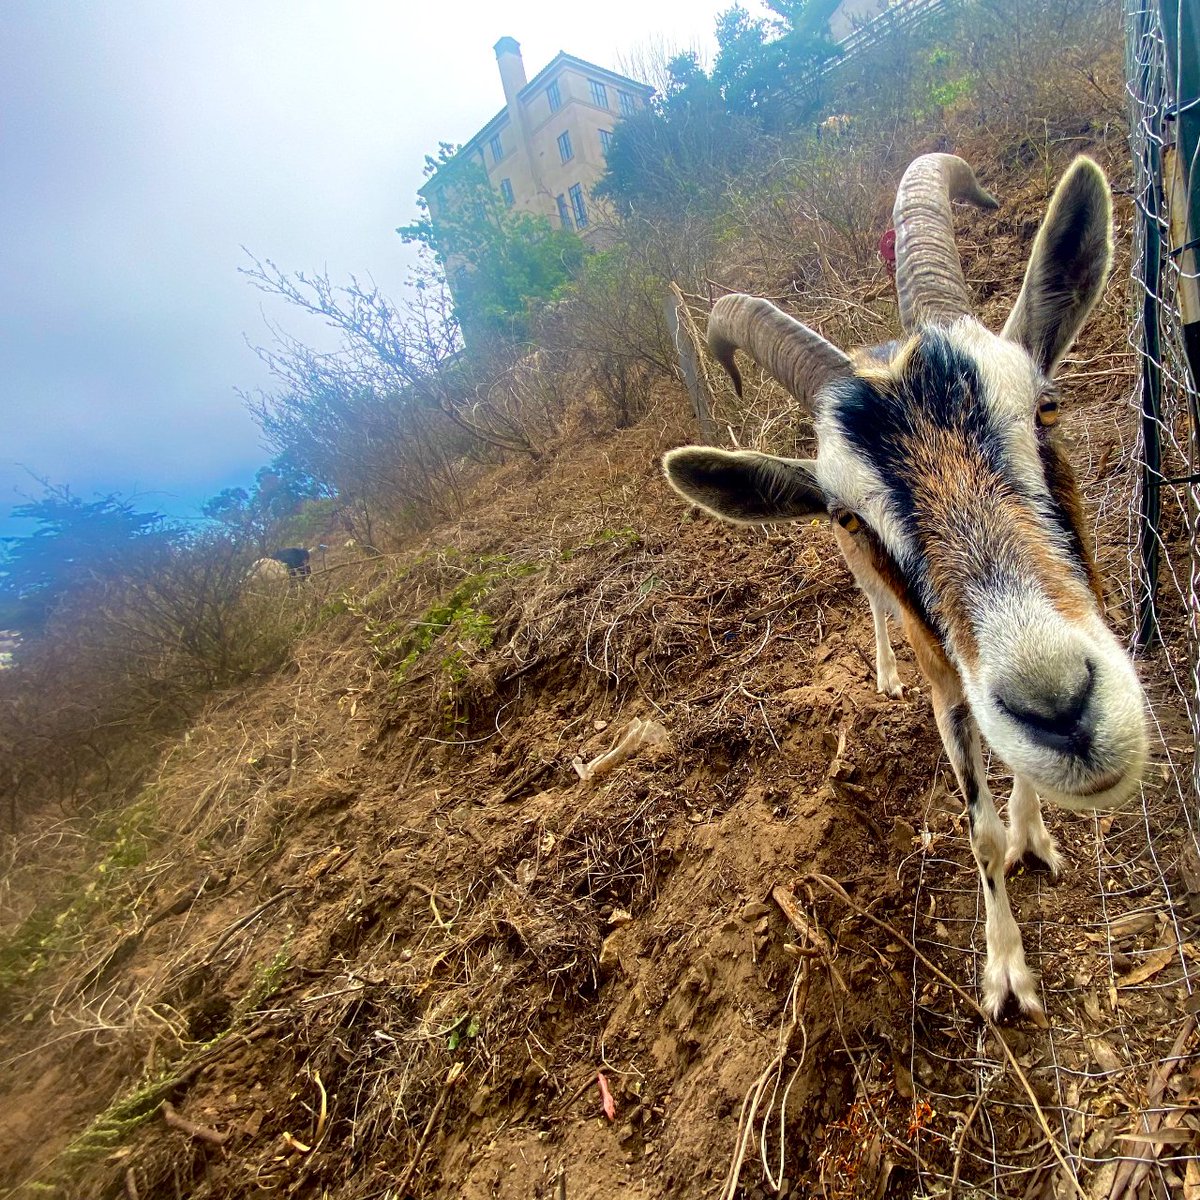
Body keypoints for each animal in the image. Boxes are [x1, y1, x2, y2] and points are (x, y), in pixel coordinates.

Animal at [662, 154, 1149, 1018]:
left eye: (1047, 408)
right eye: (850, 513)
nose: (1061, 710)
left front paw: (1035, 838)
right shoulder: (948, 679)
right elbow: (976, 831)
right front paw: (1005, 973)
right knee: (875, 607)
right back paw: (884, 673)